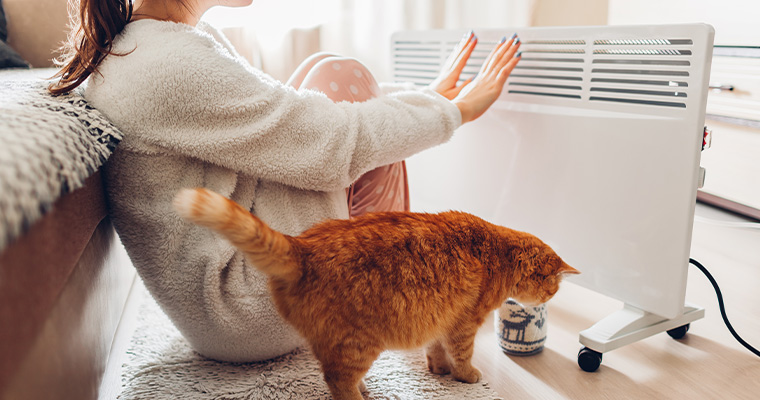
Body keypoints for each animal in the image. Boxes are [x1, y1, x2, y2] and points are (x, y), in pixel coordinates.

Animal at [172, 188, 576, 400]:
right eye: (553, 287)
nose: (550, 299)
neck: (498, 253)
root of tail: (303, 246)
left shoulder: (442, 319)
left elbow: (436, 351)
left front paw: (440, 371)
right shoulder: (464, 324)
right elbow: (462, 356)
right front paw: (465, 375)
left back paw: (365, 387)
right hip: (359, 342)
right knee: (336, 381)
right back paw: (359, 396)